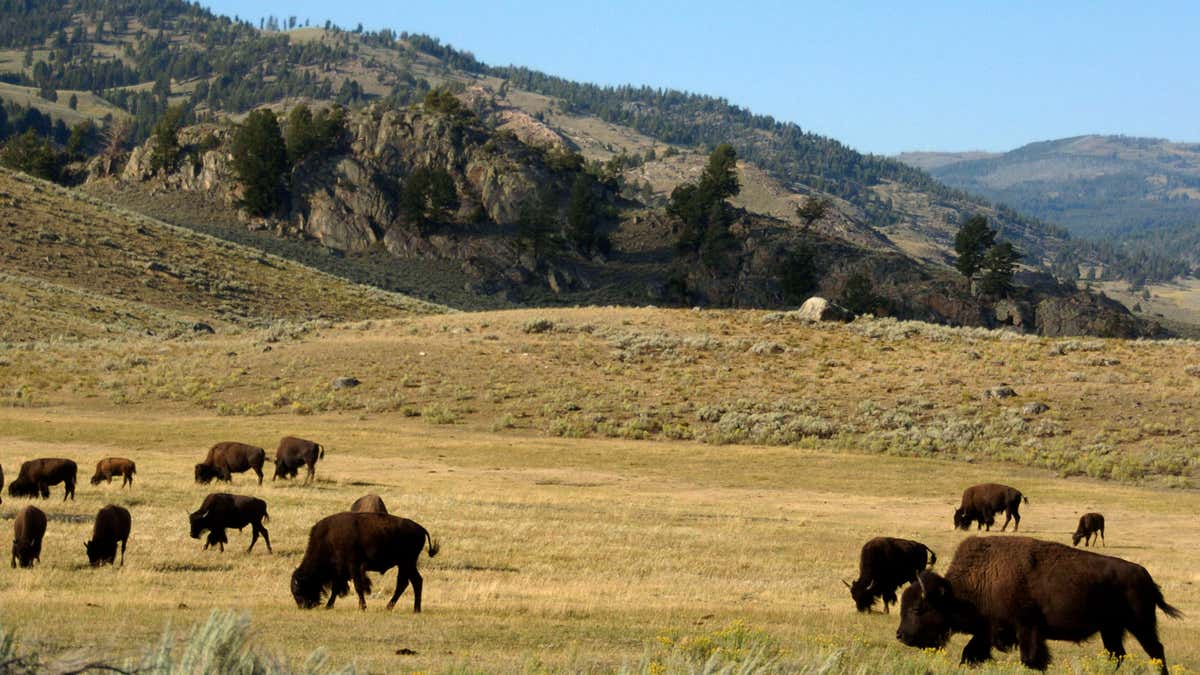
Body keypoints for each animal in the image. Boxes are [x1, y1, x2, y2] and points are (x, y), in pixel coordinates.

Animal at [288, 509, 439, 610]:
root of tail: (421, 528)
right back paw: (397, 608)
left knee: (412, 582)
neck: (328, 539)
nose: (303, 606)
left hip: (407, 563)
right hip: (405, 564)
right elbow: (336, 588)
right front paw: (329, 606)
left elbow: (358, 586)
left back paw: (411, 609)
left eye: (298, 590)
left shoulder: (353, 567)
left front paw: (362, 607)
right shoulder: (340, 571)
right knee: (409, 582)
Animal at [892, 533, 1180, 667]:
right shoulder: (989, 630)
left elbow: (1031, 658)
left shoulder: (1027, 628)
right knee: (1117, 654)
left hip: (1140, 624)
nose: (900, 636)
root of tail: (1144, 574)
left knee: (1156, 650)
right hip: (1111, 629)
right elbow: (970, 653)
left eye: (918, 609)